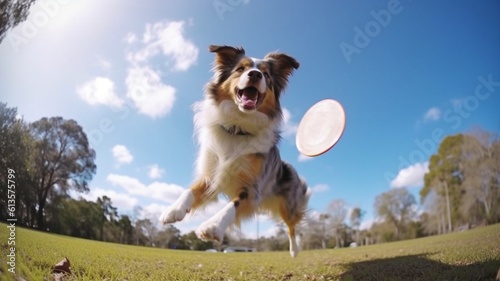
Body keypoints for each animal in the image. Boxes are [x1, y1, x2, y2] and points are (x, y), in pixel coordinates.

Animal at [159, 44, 308, 258]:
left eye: (265, 74)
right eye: (240, 69)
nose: (255, 74)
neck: (238, 127)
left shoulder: (252, 188)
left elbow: (233, 204)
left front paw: (212, 226)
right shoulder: (210, 176)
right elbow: (190, 190)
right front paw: (174, 209)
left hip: (288, 205)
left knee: (292, 226)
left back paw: (294, 250)